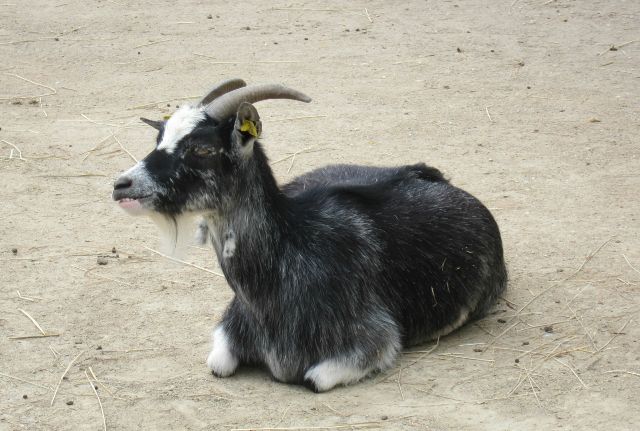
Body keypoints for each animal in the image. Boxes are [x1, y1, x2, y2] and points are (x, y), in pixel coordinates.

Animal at [112, 79, 508, 394]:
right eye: (159, 138)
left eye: (203, 148)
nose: (122, 185)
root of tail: (429, 173)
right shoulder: (228, 331)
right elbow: (218, 364)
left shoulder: (373, 340)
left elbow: (314, 379)